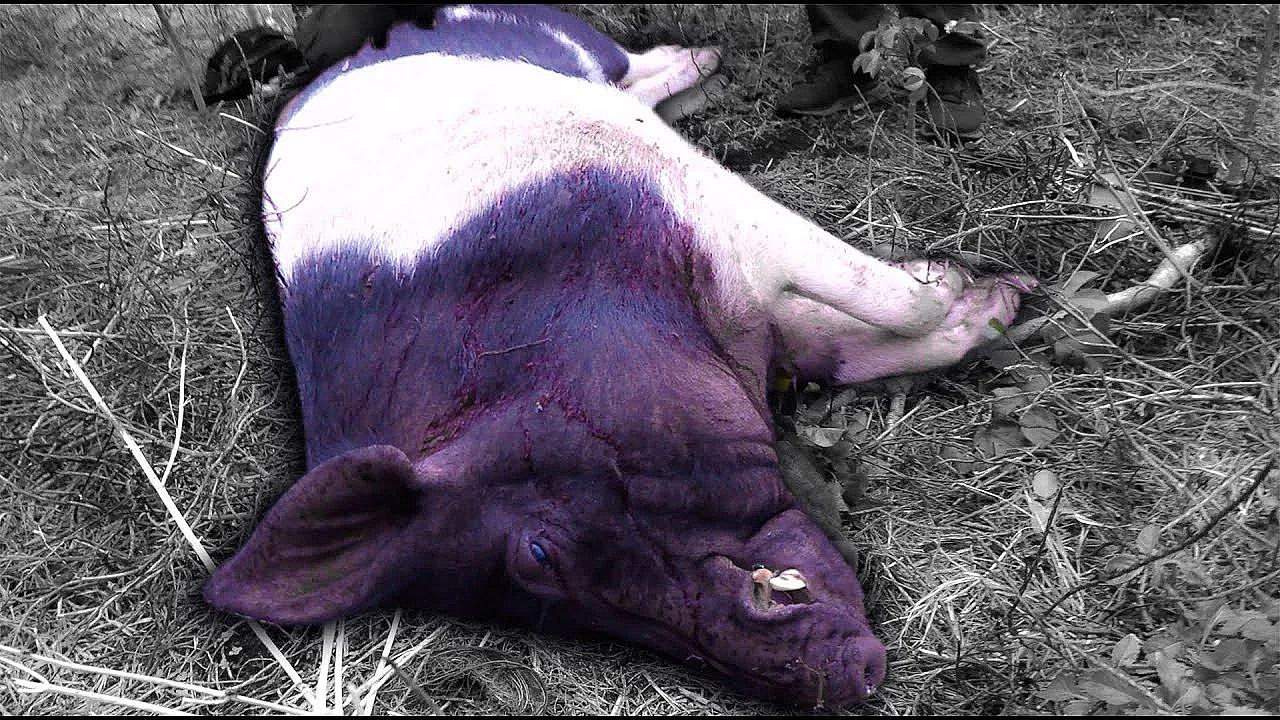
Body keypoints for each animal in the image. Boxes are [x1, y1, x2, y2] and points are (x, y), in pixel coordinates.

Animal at [204, 4, 1032, 707]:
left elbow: (897, 305)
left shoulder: (691, 197)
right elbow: (856, 347)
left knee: (634, 61)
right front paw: (994, 300)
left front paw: (994, 289)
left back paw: (702, 58)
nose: (847, 679)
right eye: (541, 579)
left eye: (538, 553)